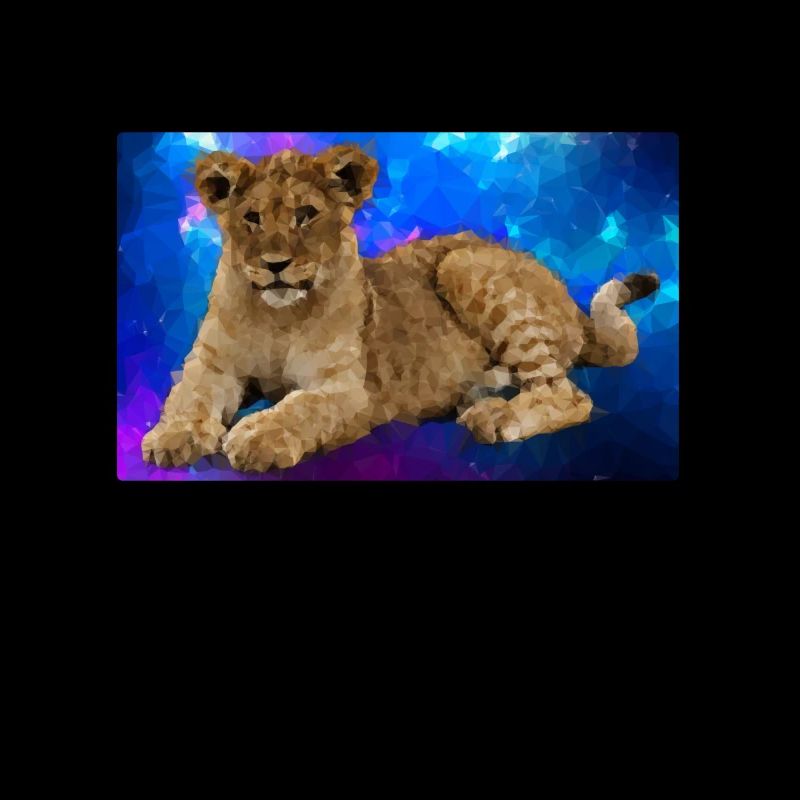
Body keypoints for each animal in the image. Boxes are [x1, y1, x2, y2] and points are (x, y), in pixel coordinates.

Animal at [141, 144, 659, 472]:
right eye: (251, 218)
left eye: (305, 216)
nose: (275, 265)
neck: (277, 316)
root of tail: (575, 310)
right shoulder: (212, 364)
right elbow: (188, 397)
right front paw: (171, 437)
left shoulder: (346, 389)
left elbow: (299, 408)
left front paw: (253, 436)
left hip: (462, 263)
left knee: (567, 395)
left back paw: (495, 417)